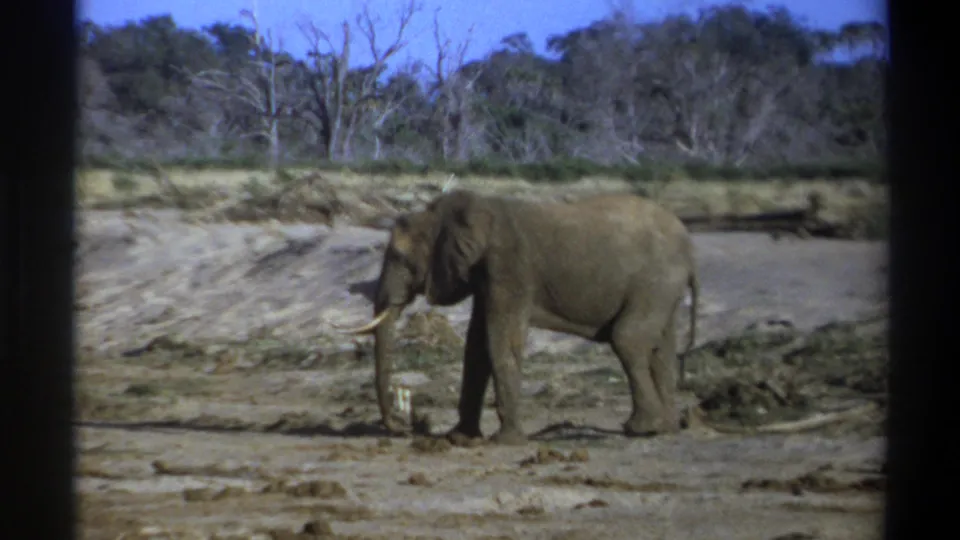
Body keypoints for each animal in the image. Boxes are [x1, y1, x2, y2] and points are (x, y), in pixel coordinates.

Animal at [335, 189, 699, 445]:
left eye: (399, 257)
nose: (404, 426)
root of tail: (688, 244)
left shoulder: (508, 267)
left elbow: (499, 340)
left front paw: (506, 441)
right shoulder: (485, 276)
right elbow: (476, 347)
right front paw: (460, 438)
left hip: (654, 281)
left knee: (628, 340)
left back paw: (641, 428)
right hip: (663, 288)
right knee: (661, 349)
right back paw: (667, 428)